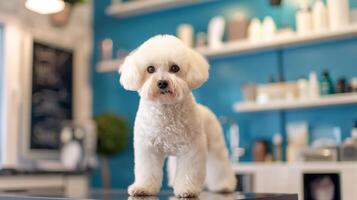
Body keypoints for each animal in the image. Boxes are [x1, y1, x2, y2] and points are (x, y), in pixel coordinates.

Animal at [119, 34, 235, 198]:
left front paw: (187, 190)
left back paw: (224, 185)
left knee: (220, 165)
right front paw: (143, 188)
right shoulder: (147, 149)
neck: (166, 110)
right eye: (150, 69)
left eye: (175, 68)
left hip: (215, 145)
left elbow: (188, 172)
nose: (162, 82)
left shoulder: (192, 149)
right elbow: (147, 171)